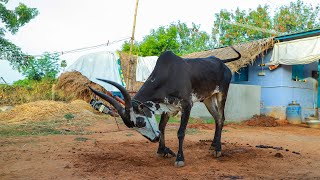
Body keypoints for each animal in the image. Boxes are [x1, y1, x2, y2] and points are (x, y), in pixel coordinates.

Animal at [90, 46, 240, 167]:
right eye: (134, 128)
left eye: (140, 121)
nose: (154, 139)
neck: (168, 75)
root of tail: (221, 63)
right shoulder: (167, 107)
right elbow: (162, 127)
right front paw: (162, 151)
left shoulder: (187, 105)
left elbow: (180, 132)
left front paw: (180, 158)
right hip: (208, 99)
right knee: (216, 118)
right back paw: (213, 145)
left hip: (222, 94)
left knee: (221, 118)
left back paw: (218, 149)